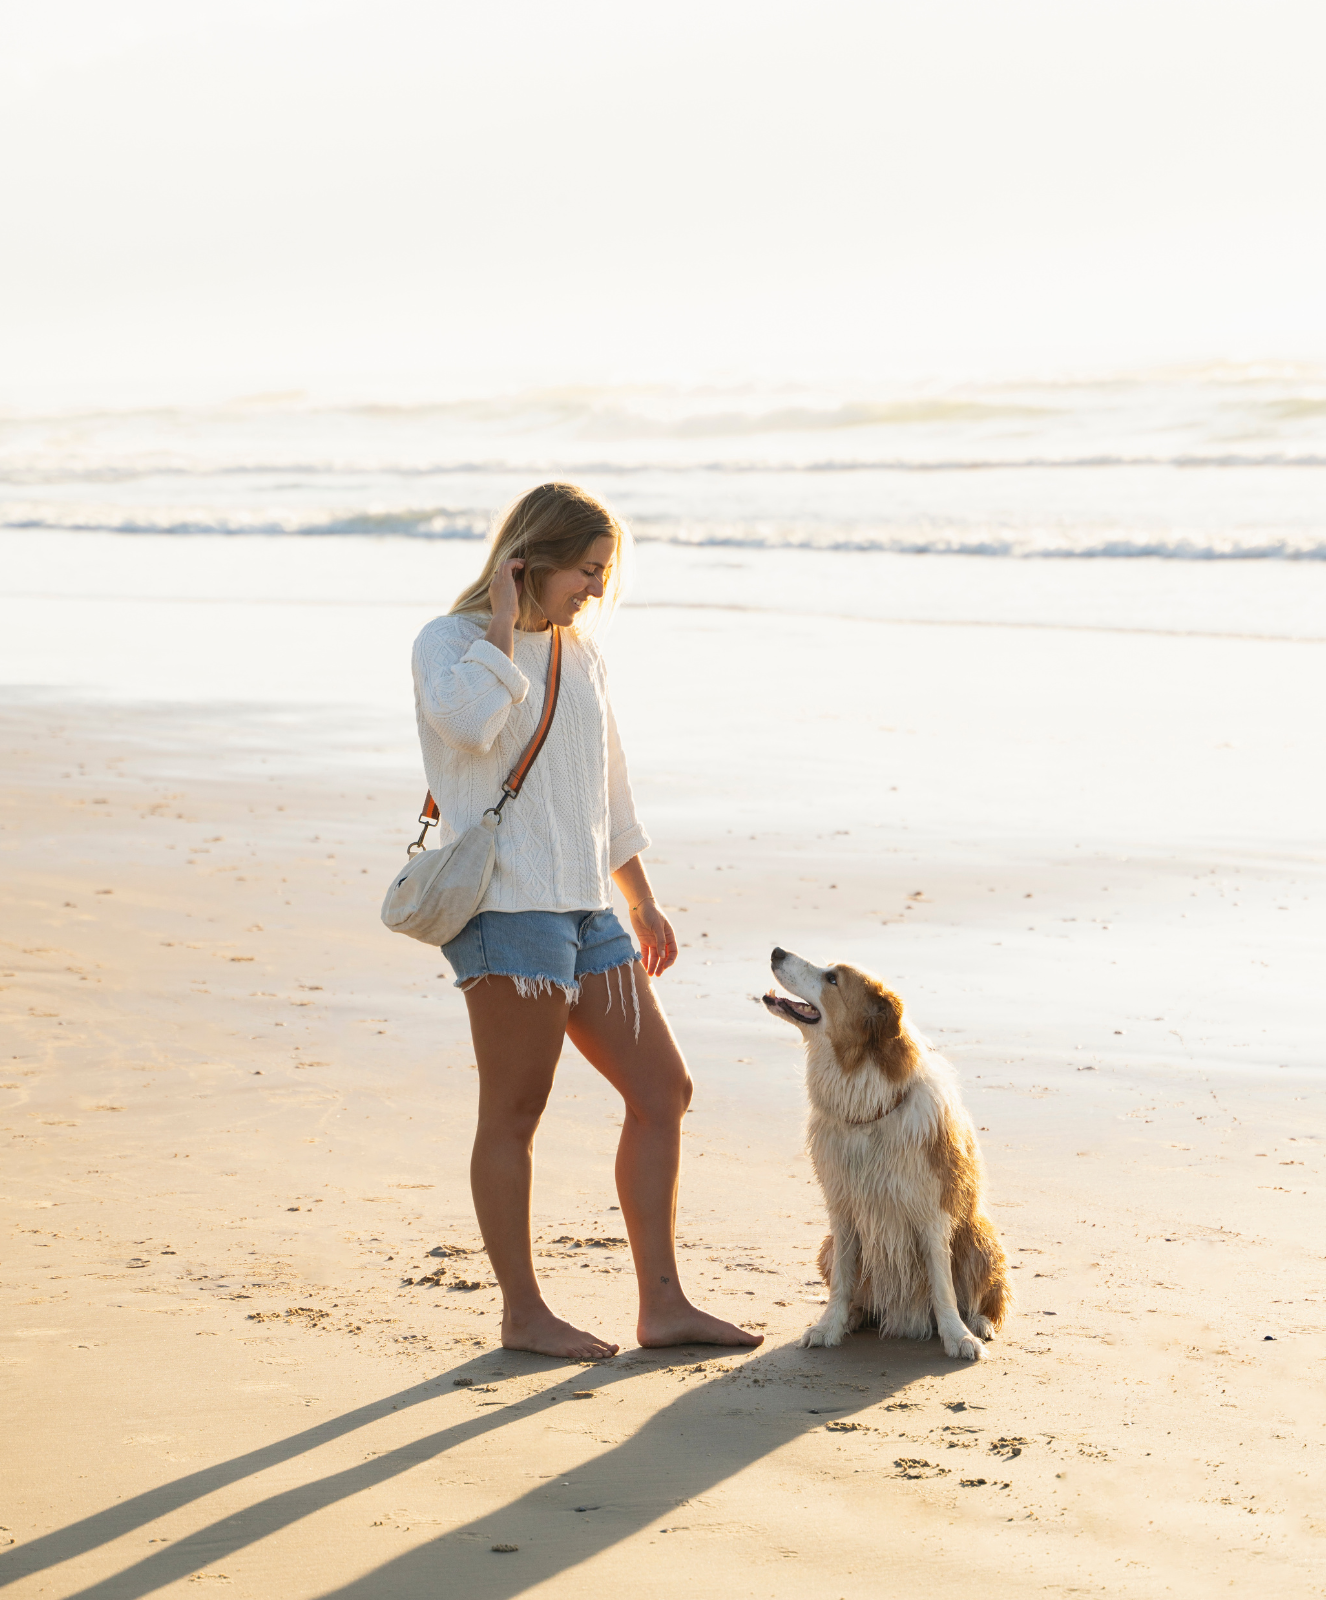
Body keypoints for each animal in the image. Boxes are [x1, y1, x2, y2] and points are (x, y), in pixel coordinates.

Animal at [761, 940, 1010, 1356]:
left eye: (832, 978)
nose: (777, 951)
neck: (867, 1103)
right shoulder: (844, 1210)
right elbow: (842, 1282)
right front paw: (829, 1326)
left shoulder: (931, 1211)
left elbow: (943, 1286)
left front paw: (957, 1336)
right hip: (827, 1245)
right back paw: (855, 1316)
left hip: (979, 1238)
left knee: (984, 1297)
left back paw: (977, 1323)